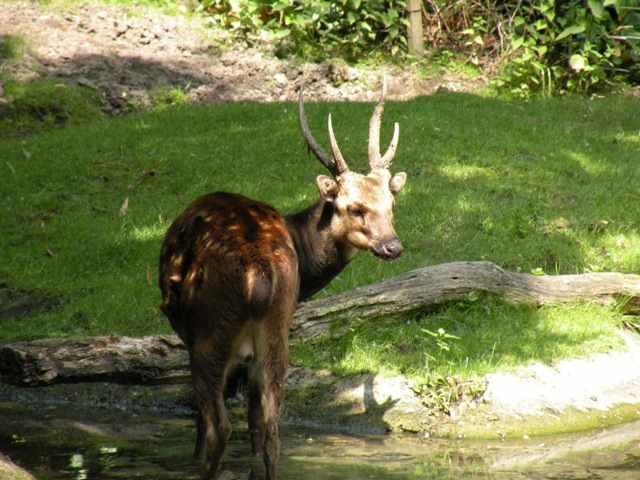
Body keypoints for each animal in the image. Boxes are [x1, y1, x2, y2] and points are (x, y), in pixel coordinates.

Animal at [160, 79, 408, 480]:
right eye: (355, 207)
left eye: (391, 205)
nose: (392, 246)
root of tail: (258, 274)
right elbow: (254, 423)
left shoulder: (189, 333)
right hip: (276, 331)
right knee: (271, 423)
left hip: (210, 331)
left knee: (218, 425)